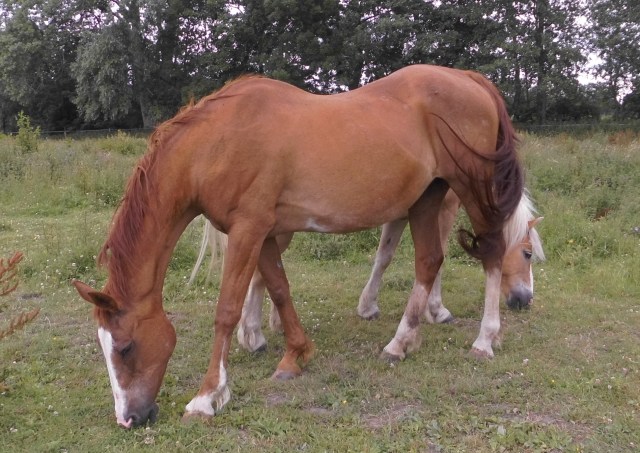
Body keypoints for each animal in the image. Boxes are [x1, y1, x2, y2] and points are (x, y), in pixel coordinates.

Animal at [190, 190, 544, 355]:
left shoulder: (401, 213)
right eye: (527, 254)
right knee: (257, 275)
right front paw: (437, 310)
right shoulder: (441, 210)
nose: (526, 299)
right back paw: (253, 334)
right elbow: (437, 259)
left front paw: (368, 306)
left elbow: (384, 254)